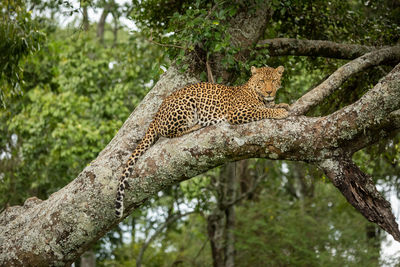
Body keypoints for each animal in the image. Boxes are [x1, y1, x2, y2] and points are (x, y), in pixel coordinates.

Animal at [114, 65, 290, 218]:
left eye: (274, 80)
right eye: (262, 81)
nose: (269, 91)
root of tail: (157, 114)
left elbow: (269, 106)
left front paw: (282, 104)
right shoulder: (238, 112)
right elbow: (262, 110)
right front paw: (279, 111)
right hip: (185, 105)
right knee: (170, 132)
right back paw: (196, 125)